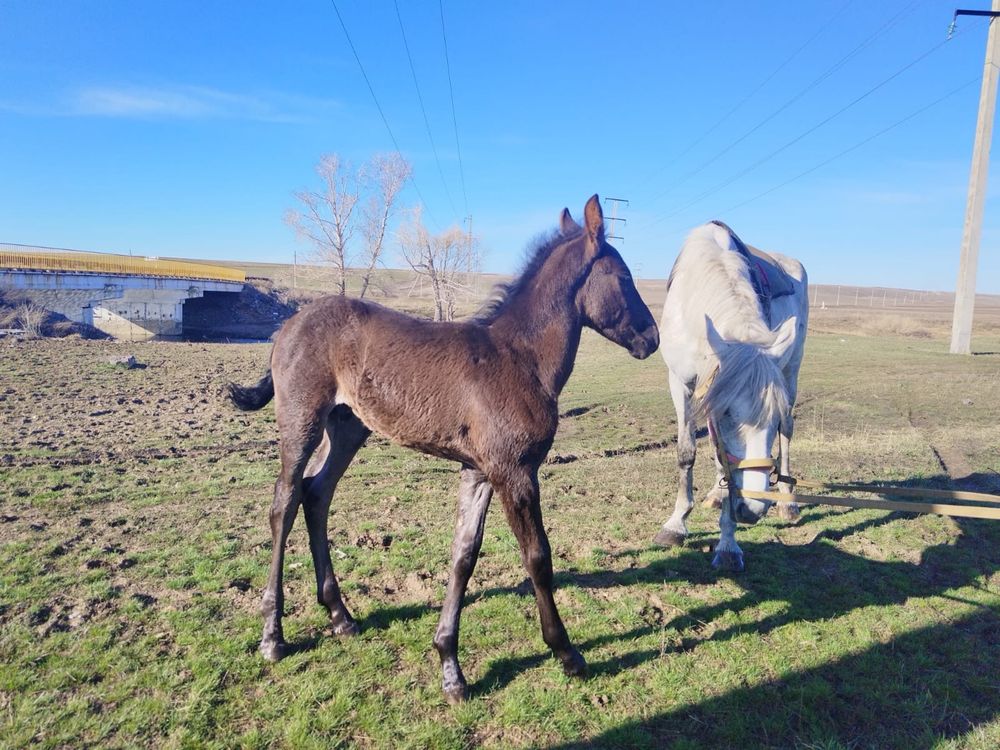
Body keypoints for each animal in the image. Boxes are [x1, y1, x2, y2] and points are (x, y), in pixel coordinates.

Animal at [230, 195, 660, 704]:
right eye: (625, 277)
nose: (652, 338)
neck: (521, 359)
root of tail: (288, 324)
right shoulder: (515, 471)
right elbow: (537, 556)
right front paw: (566, 652)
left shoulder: (480, 471)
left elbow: (463, 556)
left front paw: (450, 667)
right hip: (302, 421)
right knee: (285, 501)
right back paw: (273, 636)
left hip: (347, 428)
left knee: (316, 494)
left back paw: (341, 616)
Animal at [652, 220, 808, 572]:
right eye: (726, 413)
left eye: (772, 417)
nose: (752, 509)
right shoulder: (680, 383)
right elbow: (691, 453)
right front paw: (676, 525)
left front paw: (728, 545)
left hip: (791, 370)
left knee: (788, 434)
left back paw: (787, 502)